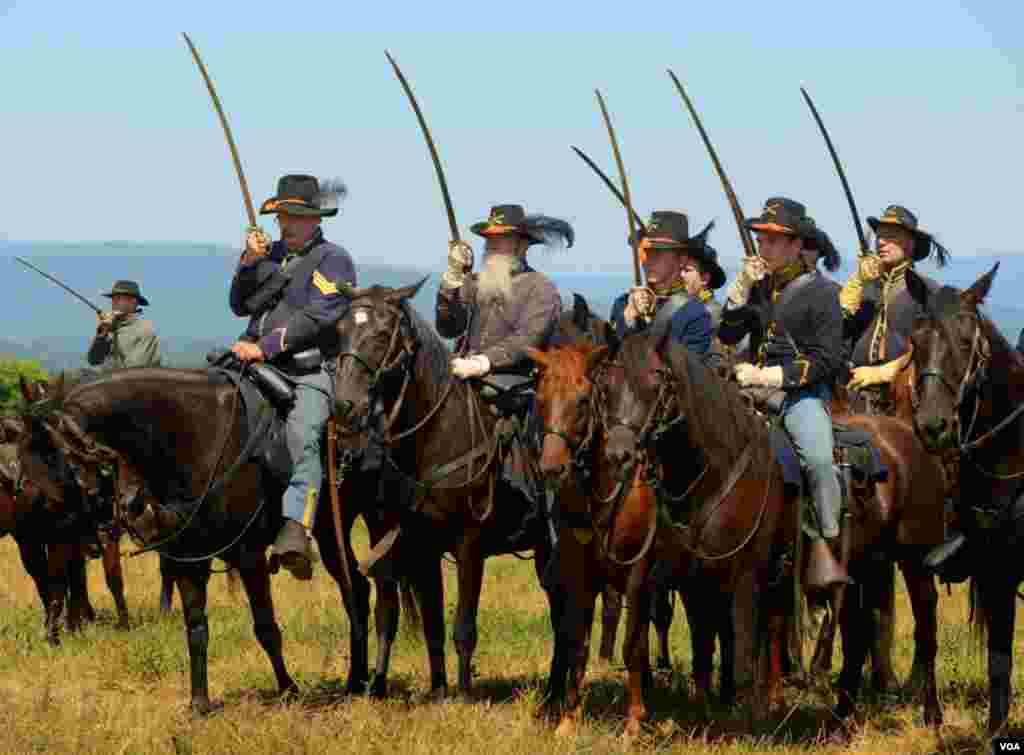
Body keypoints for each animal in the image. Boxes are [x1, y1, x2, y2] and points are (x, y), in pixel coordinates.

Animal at [905, 262, 1024, 733]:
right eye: (915, 342)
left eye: (964, 340)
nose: (933, 425)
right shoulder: (996, 572)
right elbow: (998, 662)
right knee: (926, 630)